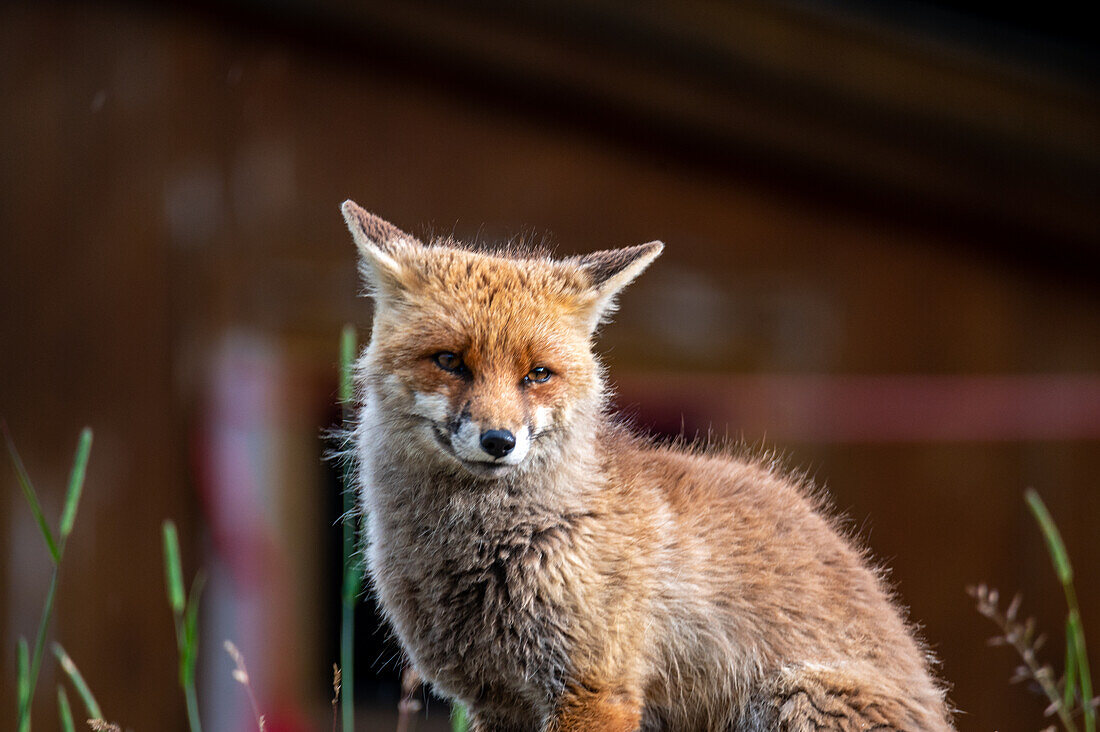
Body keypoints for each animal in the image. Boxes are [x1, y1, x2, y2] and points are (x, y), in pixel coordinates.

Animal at [343, 201, 954, 730]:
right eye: (450, 361)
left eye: (537, 374)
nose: (499, 441)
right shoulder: (497, 702)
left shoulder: (595, 689)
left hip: (792, 696)